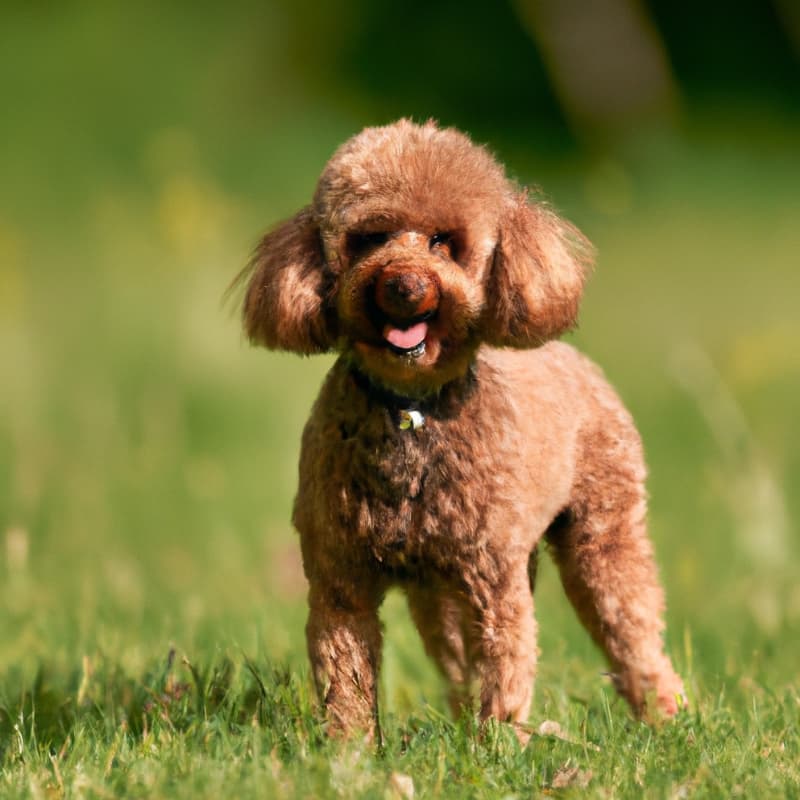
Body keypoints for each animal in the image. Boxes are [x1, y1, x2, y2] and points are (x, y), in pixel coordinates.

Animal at [234, 119, 684, 736]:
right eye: (369, 239)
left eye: (444, 241)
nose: (403, 285)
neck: (410, 407)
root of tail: (575, 357)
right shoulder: (339, 578)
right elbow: (345, 673)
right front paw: (348, 748)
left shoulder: (492, 578)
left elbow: (506, 658)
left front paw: (497, 741)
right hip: (438, 592)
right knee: (455, 660)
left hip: (601, 534)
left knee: (632, 628)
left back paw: (666, 716)